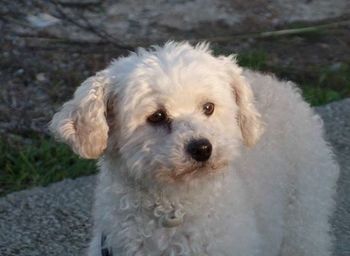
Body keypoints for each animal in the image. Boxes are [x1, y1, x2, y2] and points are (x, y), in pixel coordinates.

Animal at [50, 42, 340, 256]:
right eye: (156, 116)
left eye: (208, 107)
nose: (202, 148)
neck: (175, 207)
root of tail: (279, 83)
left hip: (303, 219)